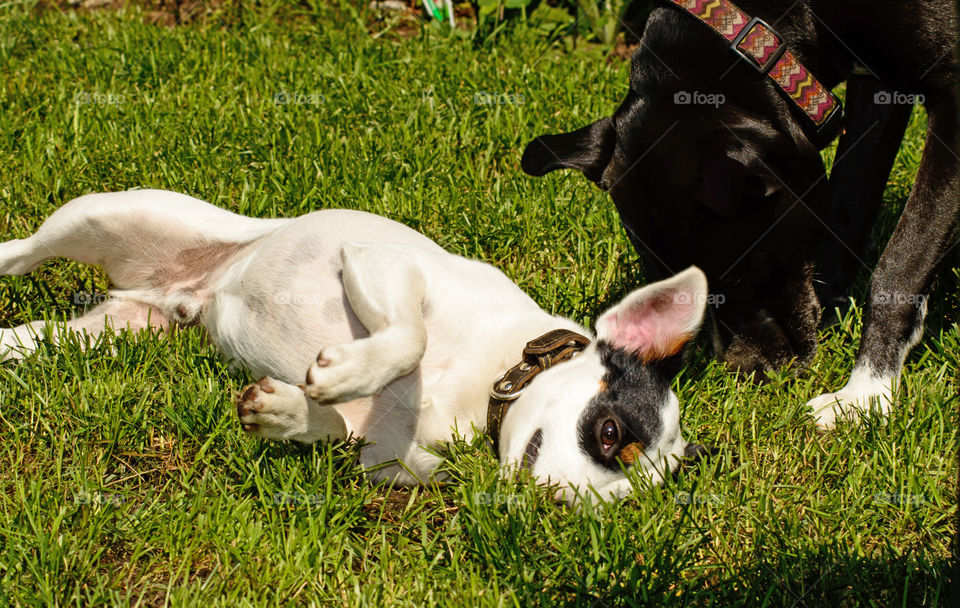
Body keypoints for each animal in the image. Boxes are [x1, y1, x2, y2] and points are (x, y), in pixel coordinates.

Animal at [0, 191, 708, 504]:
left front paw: (289, 412)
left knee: (33, 341)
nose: (560, 506)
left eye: (618, 502)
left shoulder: (389, 457)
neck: (489, 379)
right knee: (20, 252)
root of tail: (185, 290)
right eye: (610, 433)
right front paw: (346, 374)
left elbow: (340, 432)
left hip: (112, 331)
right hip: (99, 216)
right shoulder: (387, 266)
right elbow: (409, 338)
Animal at [520, 0, 956, 428]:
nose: (748, 372)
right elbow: (849, 198)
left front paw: (866, 393)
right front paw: (834, 304)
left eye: (737, 275)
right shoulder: (878, 87)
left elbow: (900, 264)